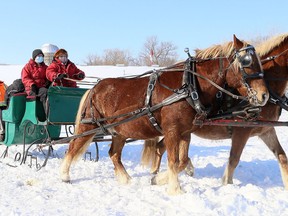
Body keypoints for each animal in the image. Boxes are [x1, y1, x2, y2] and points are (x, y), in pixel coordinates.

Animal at [59, 34, 268, 195]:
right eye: (247, 63)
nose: (264, 95)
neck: (190, 85)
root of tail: (95, 88)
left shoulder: (185, 133)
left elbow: (182, 161)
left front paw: (158, 179)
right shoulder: (172, 131)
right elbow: (174, 161)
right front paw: (175, 189)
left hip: (120, 132)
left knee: (114, 154)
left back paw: (126, 179)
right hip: (88, 125)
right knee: (72, 147)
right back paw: (64, 175)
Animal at [142, 33, 288, 190]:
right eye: (247, 63)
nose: (263, 96)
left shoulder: (266, 130)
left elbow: (282, 157)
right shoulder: (242, 130)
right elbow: (234, 159)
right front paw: (226, 183)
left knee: (161, 147)